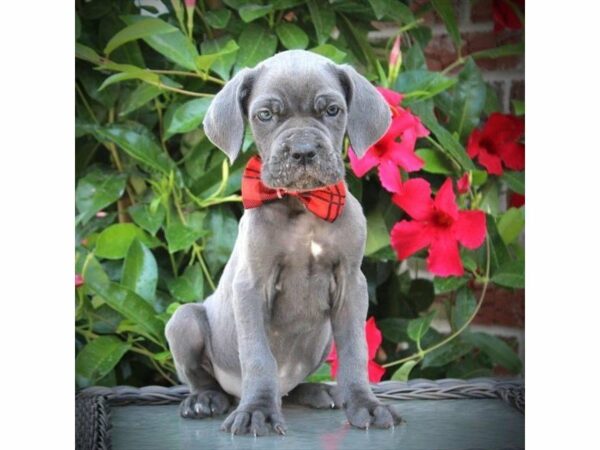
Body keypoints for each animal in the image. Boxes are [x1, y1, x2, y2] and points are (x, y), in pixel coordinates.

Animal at [164, 50, 400, 436]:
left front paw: (365, 405)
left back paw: (317, 391)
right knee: (203, 377)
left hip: (323, 336)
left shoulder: (352, 284)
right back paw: (205, 399)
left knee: (292, 387)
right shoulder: (251, 285)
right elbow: (257, 355)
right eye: (265, 115)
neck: (304, 205)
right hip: (183, 321)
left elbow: (355, 350)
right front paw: (257, 411)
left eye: (332, 110)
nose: (303, 151)